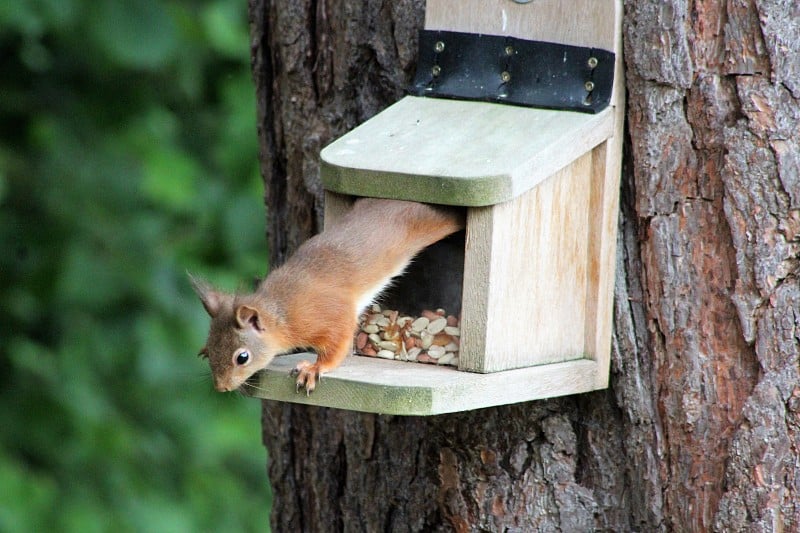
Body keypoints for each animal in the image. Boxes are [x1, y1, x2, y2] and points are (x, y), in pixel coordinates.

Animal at [191, 197, 462, 392]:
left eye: (242, 357)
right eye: (209, 351)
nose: (222, 388)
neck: (281, 313)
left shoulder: (328, 314)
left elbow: (338, 342)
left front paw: (314, 368)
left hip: (432, 222)